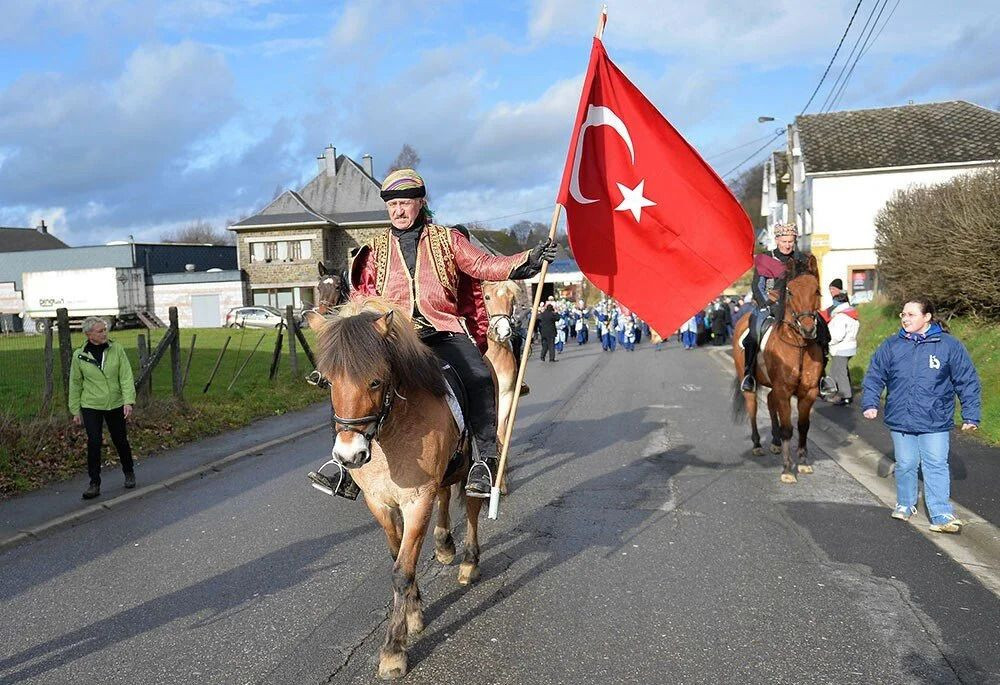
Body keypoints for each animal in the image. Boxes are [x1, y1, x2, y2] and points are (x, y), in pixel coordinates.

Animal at [304, 300, 484, 680]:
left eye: (375, 381)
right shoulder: (380, 503)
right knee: (446, 498)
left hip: (470, 467)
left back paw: (468, 562)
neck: (392, 429)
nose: (349, 455)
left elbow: (402, 570)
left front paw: (393, 650)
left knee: (474, 507)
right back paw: (444, 545)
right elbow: (398, 554)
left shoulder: (417, 500)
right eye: (328, 382)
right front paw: (414, 614)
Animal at [732, 264, 824, 484]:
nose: (808, 328)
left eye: (816, 290)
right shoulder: (784, 390)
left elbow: (803, 426)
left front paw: (803, 462)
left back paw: (774, 442)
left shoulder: (808, 392)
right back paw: (757, 445)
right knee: (753, 408)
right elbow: (787, 429)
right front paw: (788, 469)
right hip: (750, 384)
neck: (799, 345)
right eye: (790, 291)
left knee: (770, 402)